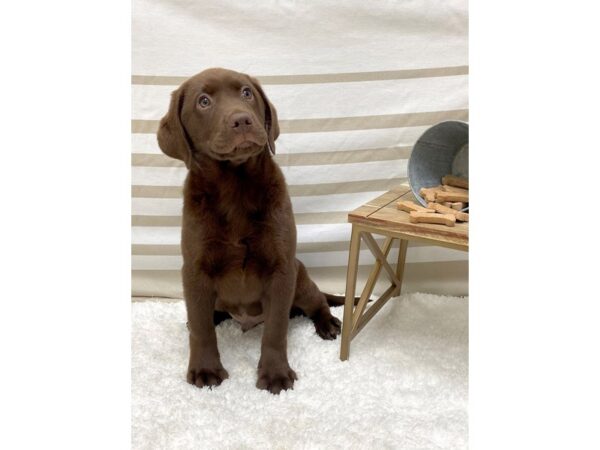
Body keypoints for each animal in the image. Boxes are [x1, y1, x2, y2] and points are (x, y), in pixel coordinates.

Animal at [155, 67, 342, 394]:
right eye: (203, 101)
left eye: (246, 93)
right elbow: (201, 329)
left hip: (300, 278)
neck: (235, 187)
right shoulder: (195, 270)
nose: (242, 120)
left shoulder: (281, 269)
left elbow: (276, 329)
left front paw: (275, 374)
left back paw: (327, 323)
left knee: (316, 300)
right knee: (203, 314)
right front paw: (205, 369)